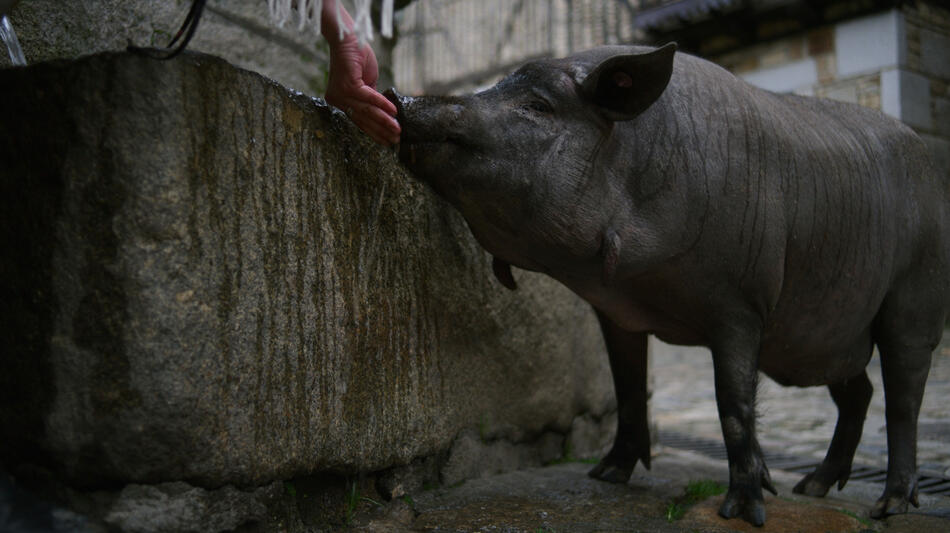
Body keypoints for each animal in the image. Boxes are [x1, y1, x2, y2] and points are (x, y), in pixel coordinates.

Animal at [383, 43, 949, 526]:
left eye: (538, 105)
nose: (397, 95)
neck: (644, 281)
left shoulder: (741, 302)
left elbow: (733, 404)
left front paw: (744, 512)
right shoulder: (617, 312)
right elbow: (629, 387)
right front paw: (606, 477)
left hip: (915, 296)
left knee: (902, 396)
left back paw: (888, 506)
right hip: (830, 329)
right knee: (859, 392)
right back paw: (811, 487)